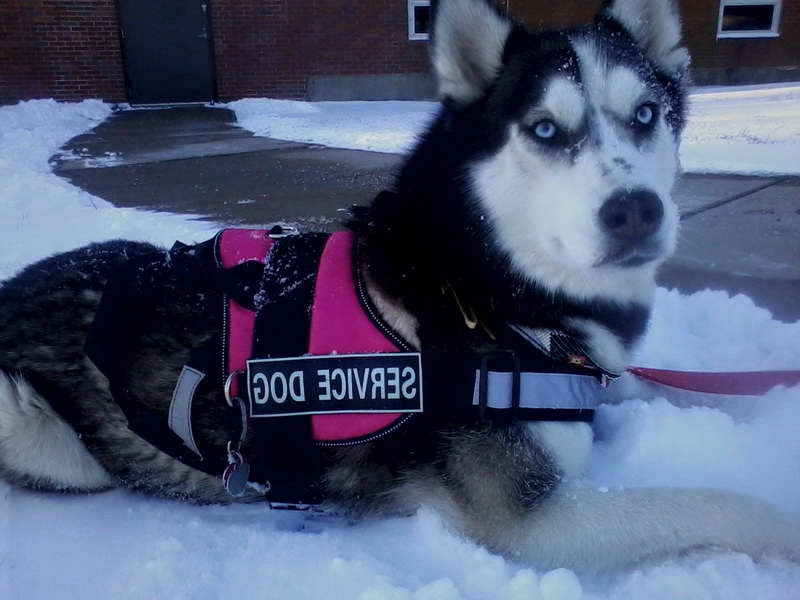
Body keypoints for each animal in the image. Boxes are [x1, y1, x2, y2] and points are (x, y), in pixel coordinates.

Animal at [1, 0, 800, 572]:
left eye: (646, 114)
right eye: (544, 129)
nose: (636, 211)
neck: (486, 292)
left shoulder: (596, 378)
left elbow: (672, 387)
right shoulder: (538, 521)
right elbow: (713, 502)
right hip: (36, 427)